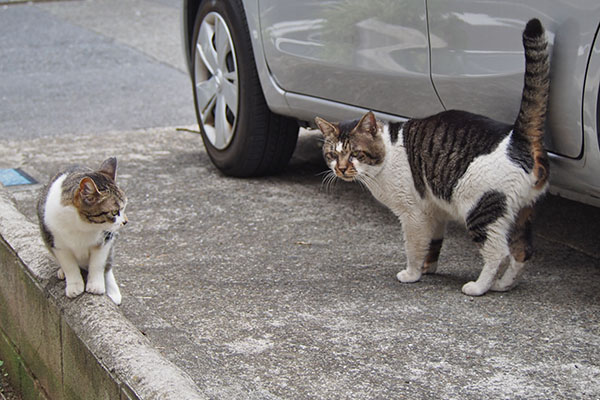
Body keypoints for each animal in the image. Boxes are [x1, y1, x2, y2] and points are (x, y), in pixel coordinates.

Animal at [36, 158, 127, 304]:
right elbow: (69, 265)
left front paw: (96, 286)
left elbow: (98, 264)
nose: (125, 221)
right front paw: (74, 286)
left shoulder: (105, 239)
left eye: (124, 208)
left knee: (107, 266)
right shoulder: (56, 243)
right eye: (114, 212)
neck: (83, 225)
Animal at [316, 18, 552, 296]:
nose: (341, 169)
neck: (385, 157)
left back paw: (479, 287)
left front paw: (412, 274)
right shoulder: (434, 211)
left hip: (481, 208)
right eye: (333, 154)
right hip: (519, 213)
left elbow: (414, 246)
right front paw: (428, 269)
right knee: (521, 251)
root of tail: (517, 138)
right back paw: (503, 285)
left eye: (355, 153)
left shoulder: (412, 214)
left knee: (498, 253)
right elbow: (433, 243)